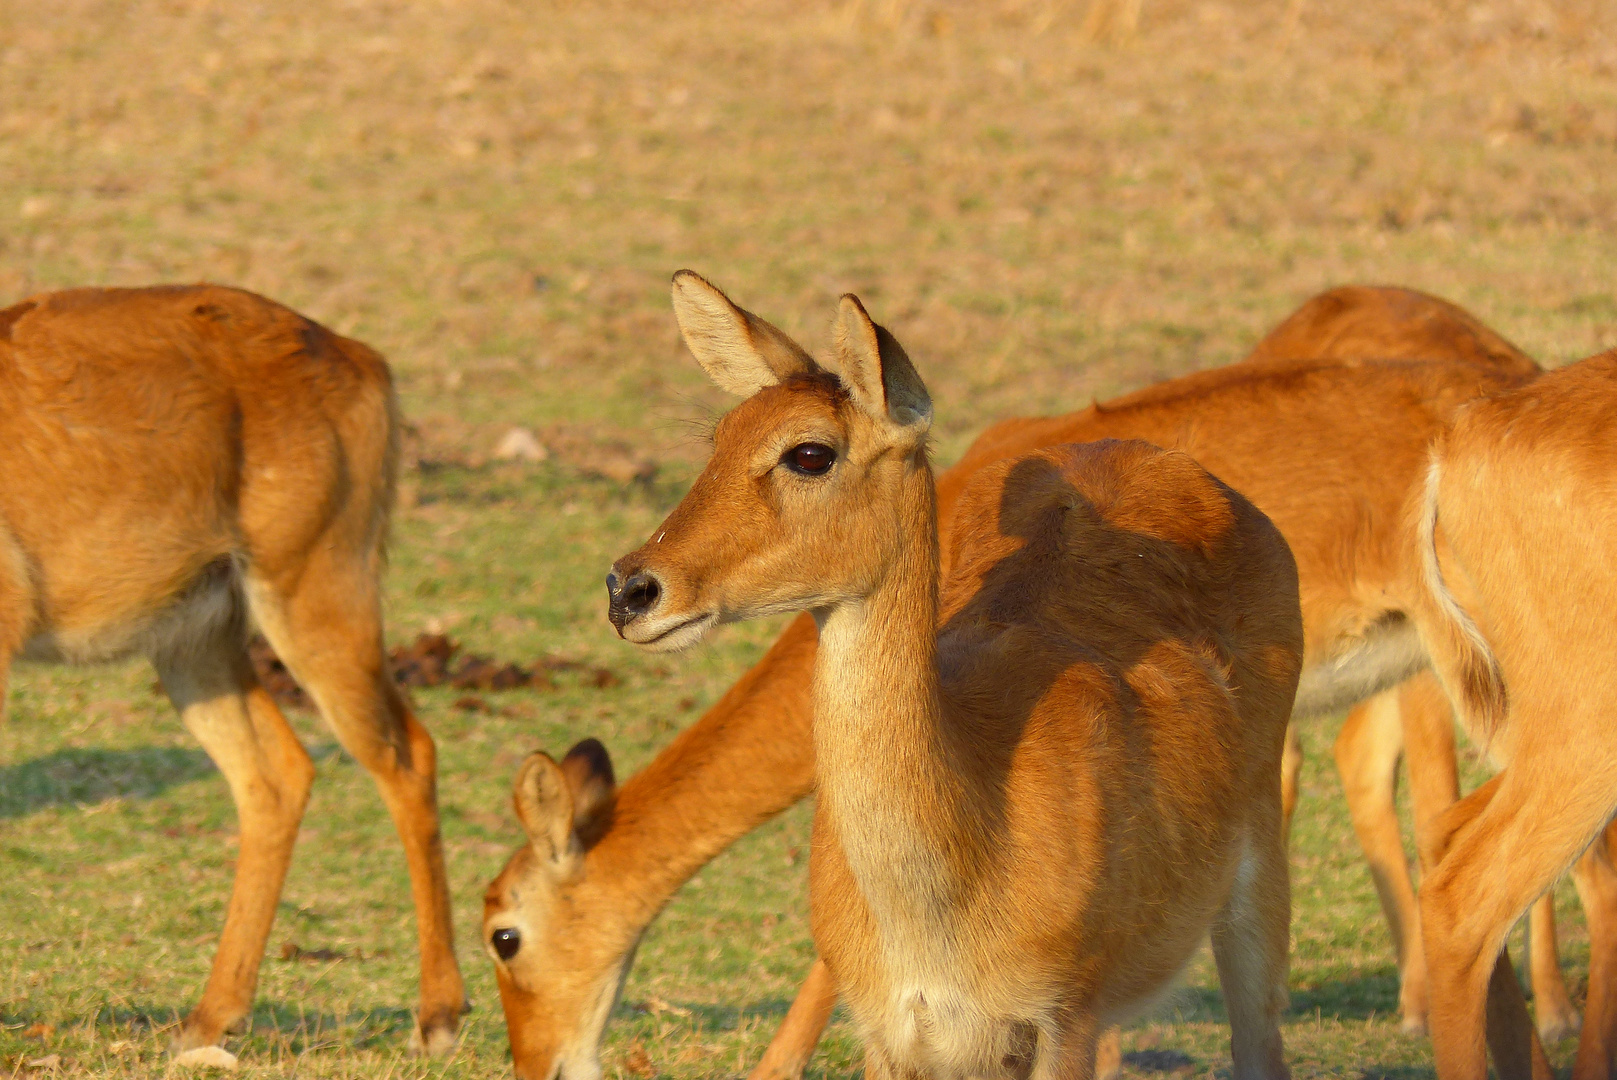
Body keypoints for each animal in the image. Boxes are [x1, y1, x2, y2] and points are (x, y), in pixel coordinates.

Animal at [1, 284, 468, 1054]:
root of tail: (354, 353)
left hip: (314, 599)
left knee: (407, 755)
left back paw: (438, 1018)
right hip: (196, 642)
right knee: (276, 776)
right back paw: (210, 1017)